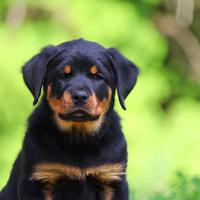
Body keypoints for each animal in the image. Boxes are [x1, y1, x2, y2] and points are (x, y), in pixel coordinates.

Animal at [0, 38, 138, 199]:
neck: (79, 139)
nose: (80, 96)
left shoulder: (112, 178)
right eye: (63, 76)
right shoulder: (38, 180)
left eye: (97, 76)